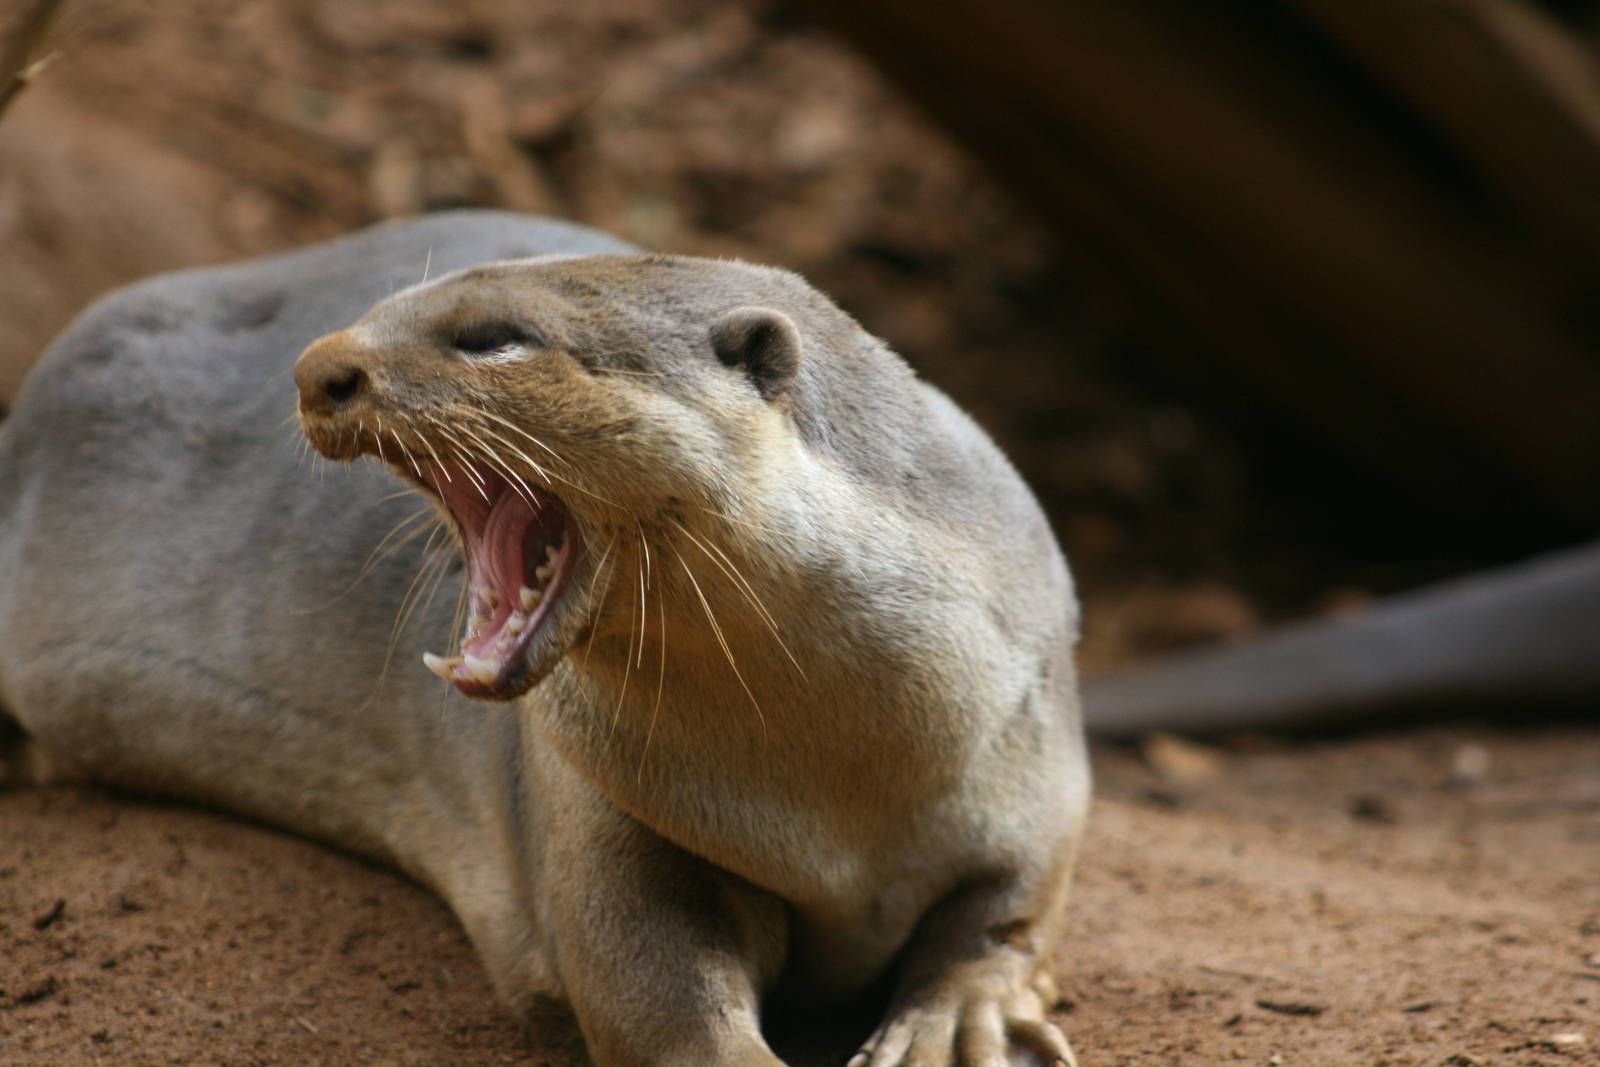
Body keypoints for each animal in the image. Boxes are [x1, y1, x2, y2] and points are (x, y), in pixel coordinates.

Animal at [0, 212, 1087, 1066]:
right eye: (390, 303)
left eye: (494, 337)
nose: (319, 367)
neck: (838, 789)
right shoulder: (598, 795)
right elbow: (650, 991)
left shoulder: (1031, 736)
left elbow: (1010, 906)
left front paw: (962, 1020)